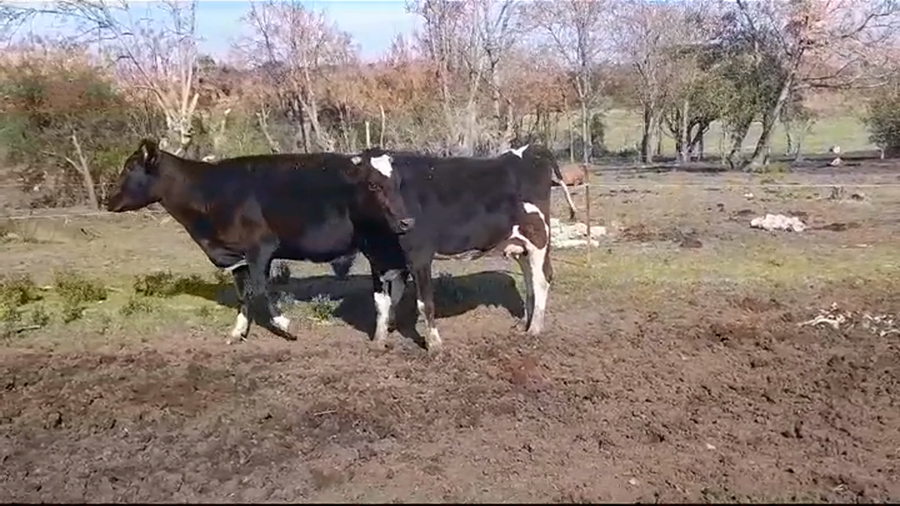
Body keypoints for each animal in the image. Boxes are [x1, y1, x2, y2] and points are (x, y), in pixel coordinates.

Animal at [105, 139, 414, 344]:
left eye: (130, 167)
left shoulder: (261, 248)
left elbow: (261, 291)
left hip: (379, 243)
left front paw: (286, 325)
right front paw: (237, 332)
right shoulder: (237, 257)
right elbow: (244, 295)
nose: (108, 200)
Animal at [363, 144, 559, 352]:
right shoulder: (377, 260)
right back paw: (524, 323)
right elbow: (383, 302)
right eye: (372, 184)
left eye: (398, 182)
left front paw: (434, 344)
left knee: (541, 279)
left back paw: (535, 329)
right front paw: (380, 338)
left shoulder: (419, 255)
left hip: (538, 238)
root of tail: (531, 148)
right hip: (520, 246)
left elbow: (424, 302)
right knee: (530, 279)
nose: (405, 221)